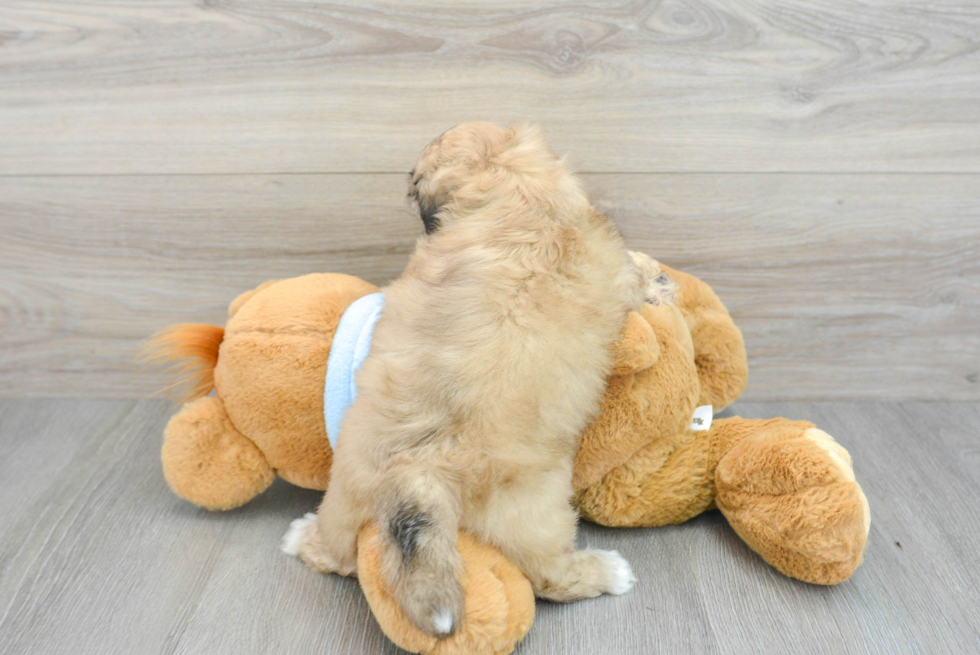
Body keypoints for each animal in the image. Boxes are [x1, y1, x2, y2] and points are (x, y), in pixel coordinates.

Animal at [288, 121, 648, 636]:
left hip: (348, 494)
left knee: (338, 554)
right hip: (540, 517)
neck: (520, 191)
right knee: (552, 578)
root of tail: (422, 469)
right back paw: (609, 572)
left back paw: (303, 537)